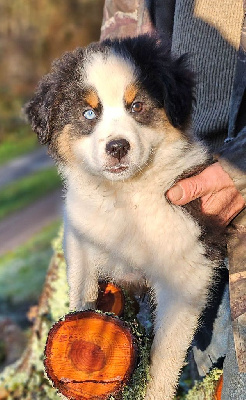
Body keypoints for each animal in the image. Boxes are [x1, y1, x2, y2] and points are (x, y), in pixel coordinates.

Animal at [26, 35, 225, 400]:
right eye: (89, 113)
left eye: (138, 106)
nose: (117, 147)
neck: (125, 197)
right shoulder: (80, 237)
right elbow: (82, 293)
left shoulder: (186, 269)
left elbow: (166, 353)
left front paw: (155, 390)